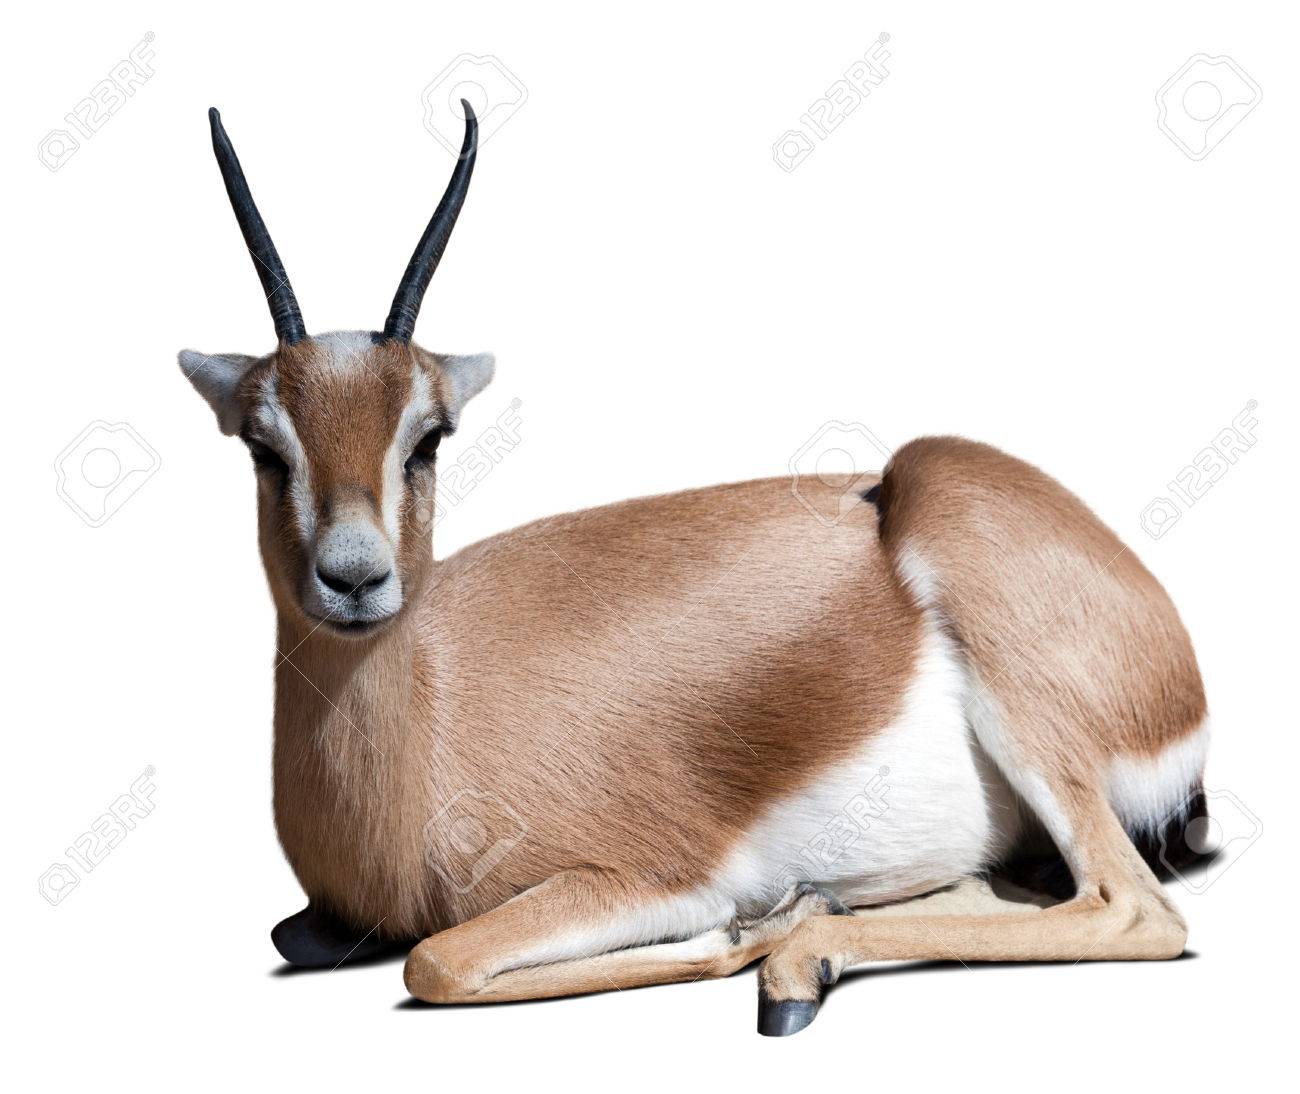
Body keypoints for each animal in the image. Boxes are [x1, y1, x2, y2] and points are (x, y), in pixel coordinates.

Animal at [180, 104, 1210, 1035]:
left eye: (428, 437)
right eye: (264, 446)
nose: (354, 579)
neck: (435, 724)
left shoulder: (651, 875)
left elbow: (435, 960)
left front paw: (751, 931)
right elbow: (303, 937)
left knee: (1136, 910)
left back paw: (795, 965)